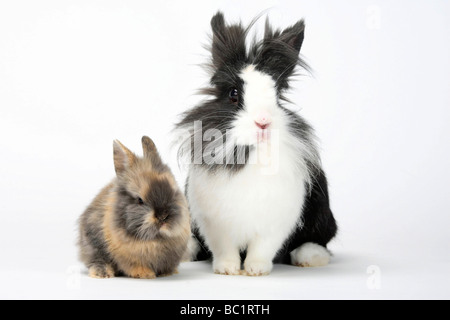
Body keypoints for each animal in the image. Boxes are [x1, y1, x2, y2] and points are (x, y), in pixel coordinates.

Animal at [77, 135, 190, 278]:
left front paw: (167, 273)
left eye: (174, 192)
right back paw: (103, 273)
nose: (163, 217)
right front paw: (146, 274)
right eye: (140, 200)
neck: (156, 239)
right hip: (92, 245)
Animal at [176, 12, 338, 276]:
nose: (263, 122)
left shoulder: (276, 221)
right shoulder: (214, 224)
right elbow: (224, 248)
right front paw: (227, 269)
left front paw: (255, 270)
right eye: (233, 93)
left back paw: (310, 257)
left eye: (277, 95)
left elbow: (263, 248)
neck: (252, 154)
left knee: (319, 238)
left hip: (322, 214)